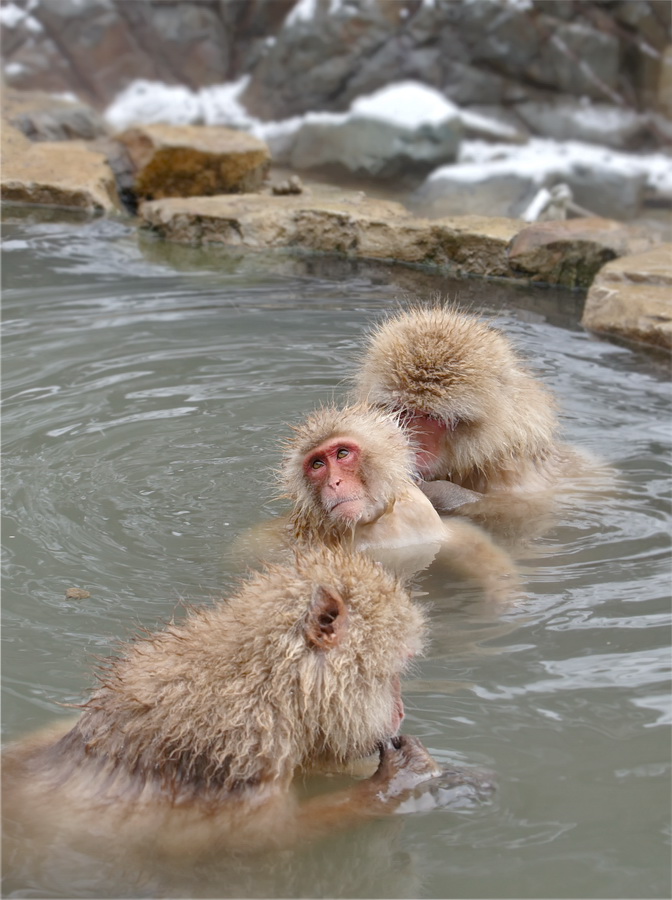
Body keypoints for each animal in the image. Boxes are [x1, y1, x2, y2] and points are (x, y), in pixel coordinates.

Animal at [3, 544, 452, 888]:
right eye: (394, 672)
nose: (400, 711)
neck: (265, 683)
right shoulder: (243, 753)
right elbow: (263, 838)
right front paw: (398, 781)